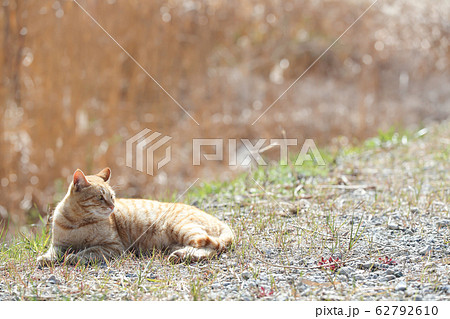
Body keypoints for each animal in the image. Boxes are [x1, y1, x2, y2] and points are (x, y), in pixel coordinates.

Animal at [37, 169, 234, 266]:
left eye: (112, 197)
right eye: (100, 197)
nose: (112, 207)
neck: (77, 223)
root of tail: (218, 221)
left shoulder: (112, 247)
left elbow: (86, 252)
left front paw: (73, 258)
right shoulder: (58, 245)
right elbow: (53, 252)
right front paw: (46, 259)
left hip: (183, 229)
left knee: (210, 247)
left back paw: (182, 256)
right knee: (207, 250)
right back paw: (181, 255)